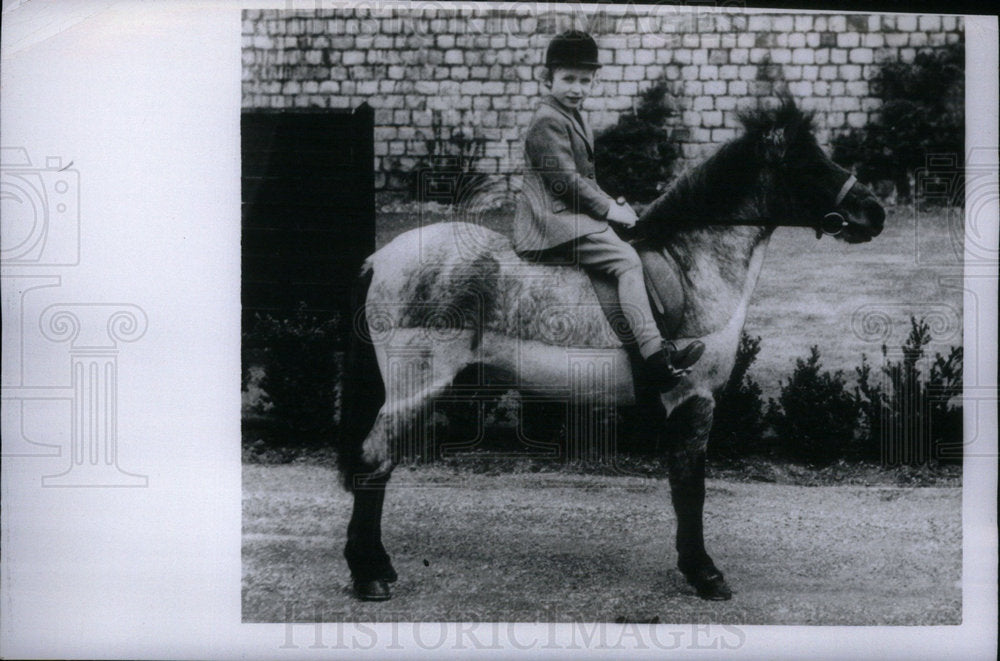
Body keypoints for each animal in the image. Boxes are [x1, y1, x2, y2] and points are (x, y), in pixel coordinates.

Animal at [336, 99, 884, 604]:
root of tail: (381, 258)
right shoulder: (694, 397)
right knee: (374, 462)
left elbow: (682, 485)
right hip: (415, 387)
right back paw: (369, 576)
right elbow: (691, 487)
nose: (874, 212)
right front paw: (704, 573)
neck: (693, 264)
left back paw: (378, 568)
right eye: (808, 164)